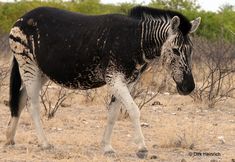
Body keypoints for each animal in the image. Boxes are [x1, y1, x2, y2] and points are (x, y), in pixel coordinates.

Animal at [5, 5, 200, 158]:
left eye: (191, 51)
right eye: (175, 50)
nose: (188, 87)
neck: (136, 40)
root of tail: (22, 18)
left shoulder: (127, 81)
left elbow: (113, 113)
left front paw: (107, 147)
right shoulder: (114, 77)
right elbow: (134, 110)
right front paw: (142, 148)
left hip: (42, 71)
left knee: (21, 99)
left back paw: (9, 138)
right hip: (27, 63)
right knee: (32, 104)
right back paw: (44, 143)